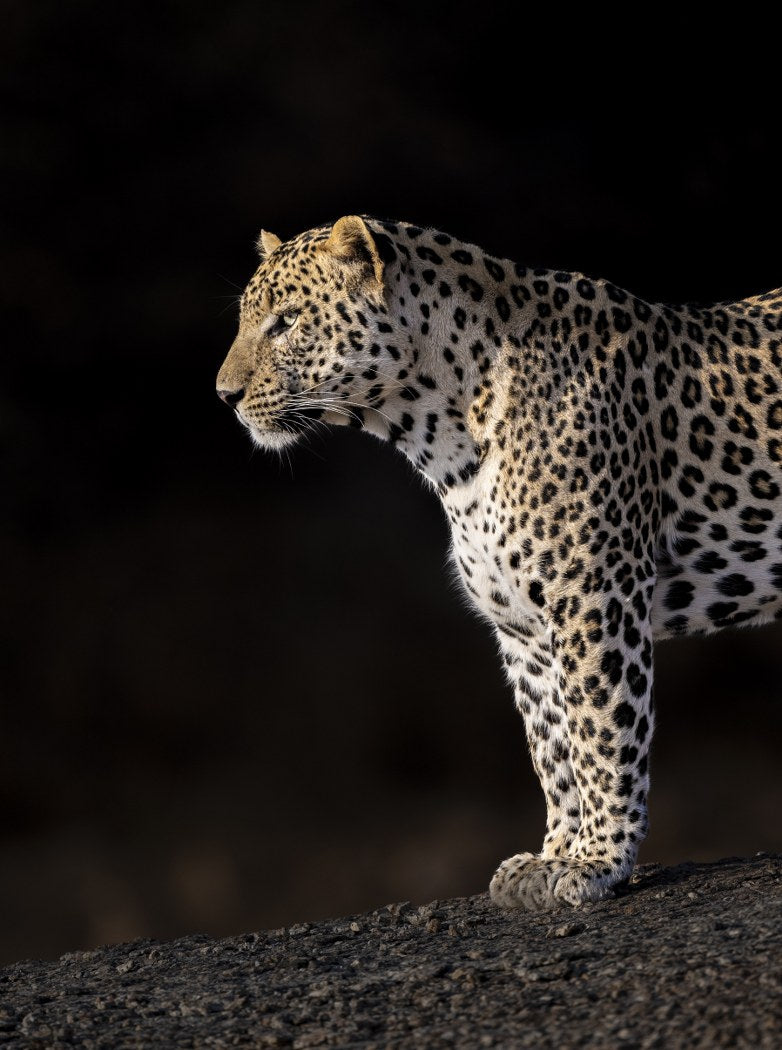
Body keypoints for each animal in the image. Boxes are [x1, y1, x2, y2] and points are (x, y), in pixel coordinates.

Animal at [216, 215, 782, 911]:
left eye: (287, 322)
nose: (225, 395)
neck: (440, 439)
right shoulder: (522, 628)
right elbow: (552, 748)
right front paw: (554, 854)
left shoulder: (596, 599)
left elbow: (600, 732)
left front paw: (598, 861)